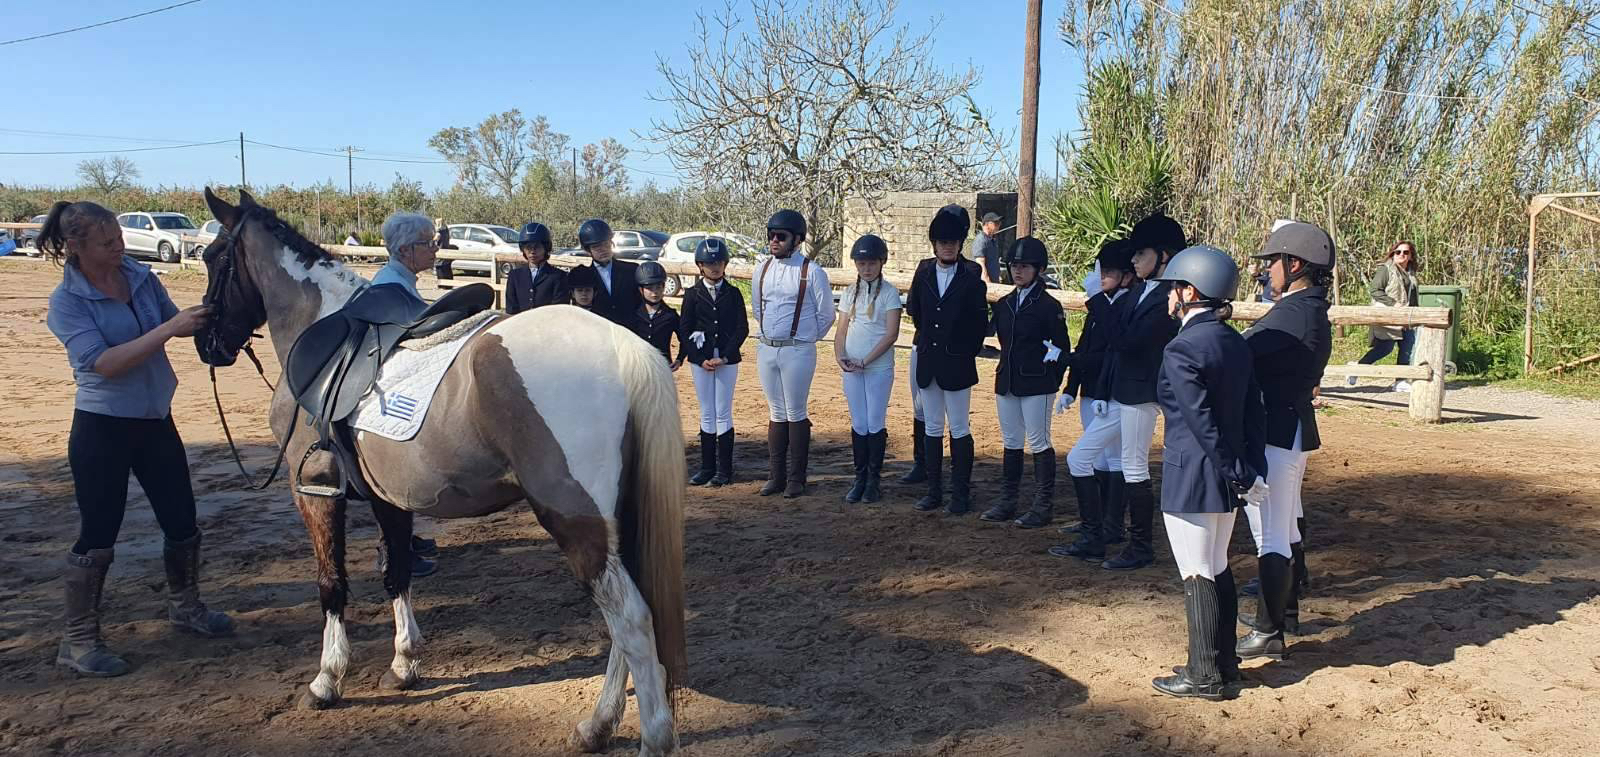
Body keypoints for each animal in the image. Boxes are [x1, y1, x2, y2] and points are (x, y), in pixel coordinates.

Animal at [192, 187, 681, 748]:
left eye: (214, 257)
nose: (206, 344)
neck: (318, 325)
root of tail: (623, 345)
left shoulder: (314, 490)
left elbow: (330, 583)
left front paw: (326, 680)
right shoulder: (388, 498)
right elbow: (397, 572)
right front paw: (404, 664)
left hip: (579, 524)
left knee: (631, 621)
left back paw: (652, 738)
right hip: (616, 521)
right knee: (631, 618)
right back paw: (597, 725)